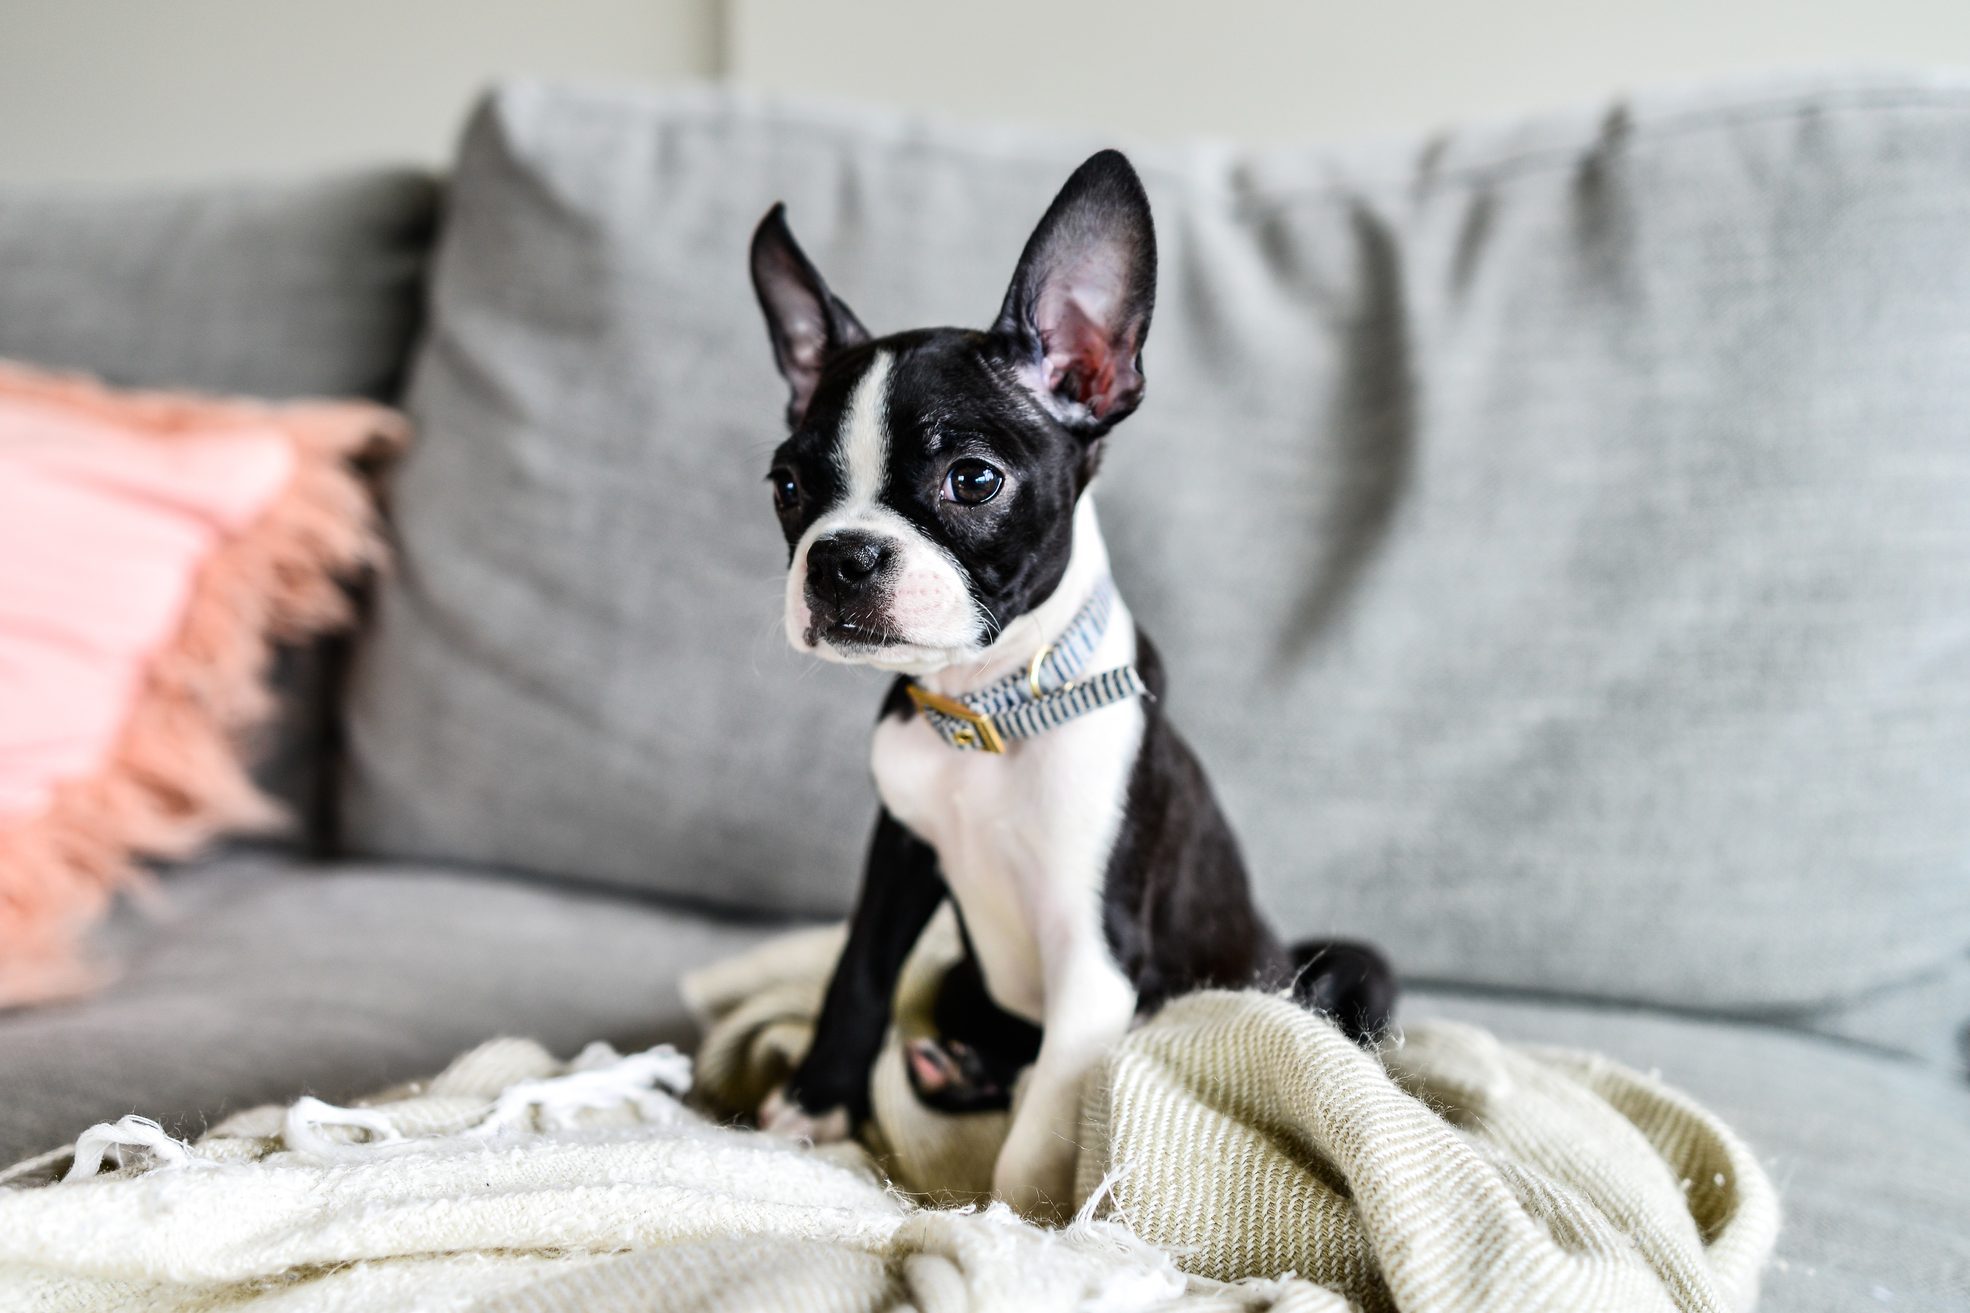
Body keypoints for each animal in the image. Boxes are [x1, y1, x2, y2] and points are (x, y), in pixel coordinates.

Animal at [744, 147, 1394, 1214]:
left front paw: (1019, 1220)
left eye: (973, 480)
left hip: (1332, 977)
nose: (842, 556)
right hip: (963, 975)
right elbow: (857, 977)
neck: (986, 701)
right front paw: (814, 1104)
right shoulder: (900, 857)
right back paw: (955, 1066)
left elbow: (1046, 1113)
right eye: (789, 488)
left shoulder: (1095, 954)